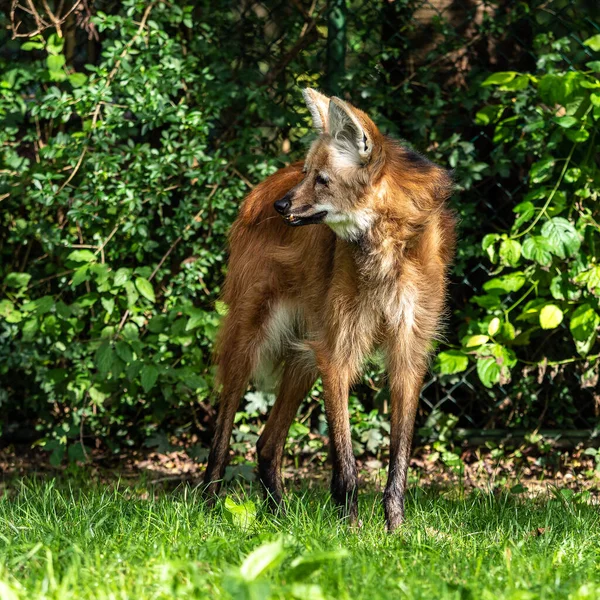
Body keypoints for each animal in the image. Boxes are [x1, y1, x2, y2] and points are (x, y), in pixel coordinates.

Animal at [203, 89, 454, 528]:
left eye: (321, 179)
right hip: (253, 336)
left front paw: (396, 529)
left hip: (304, 351)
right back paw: (208, 506)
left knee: (267, 444)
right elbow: (345, 458)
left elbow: (399, 457)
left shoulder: (408, 349)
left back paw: (280, 518)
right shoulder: (336, 351)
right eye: (306, 172)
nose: (281, 206)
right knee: (224, 425)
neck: (384, 242)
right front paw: (350, 530)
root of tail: (259, 189)